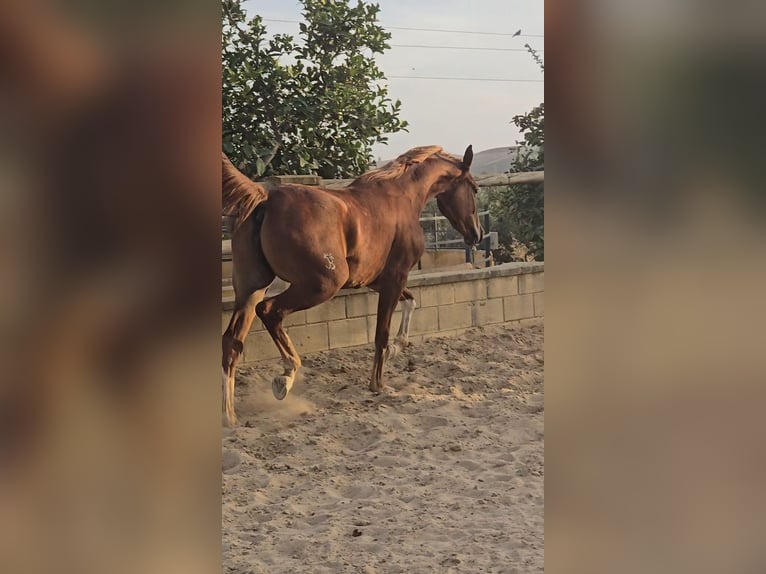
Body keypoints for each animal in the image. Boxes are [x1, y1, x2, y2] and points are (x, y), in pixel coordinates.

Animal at [222, 146, 484, 426]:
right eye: (474, 188)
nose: (477, 234)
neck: (403, 198)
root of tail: (266, 199)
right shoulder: (396, 276)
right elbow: (382, 332)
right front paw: (378, 384)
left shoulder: (376, 280)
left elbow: (410, 302)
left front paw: (395, 349)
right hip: (322, 284)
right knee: (269, 311)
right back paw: (285, 377)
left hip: (252, 287)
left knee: (232, 341)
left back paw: (230, 416)